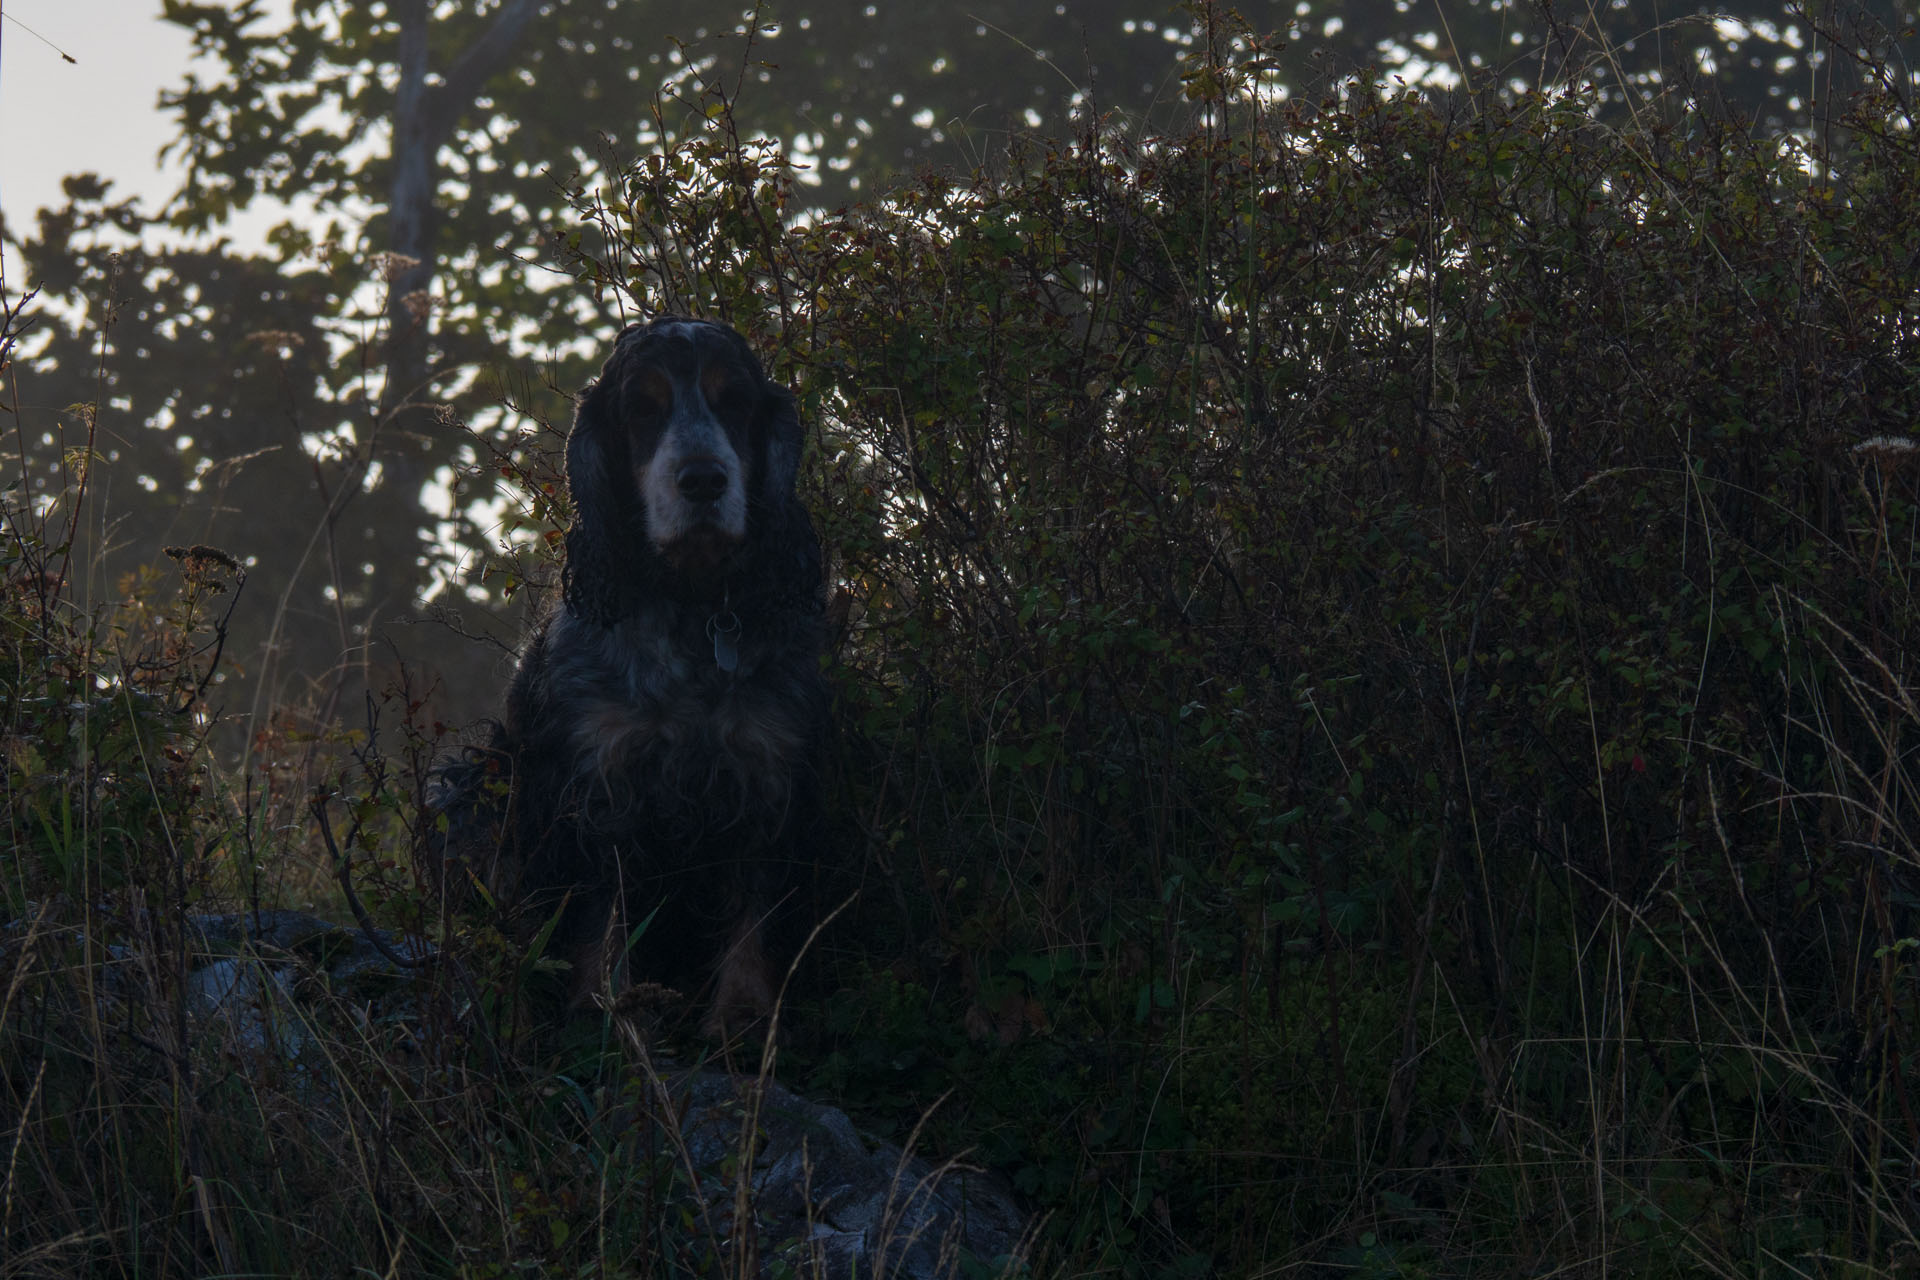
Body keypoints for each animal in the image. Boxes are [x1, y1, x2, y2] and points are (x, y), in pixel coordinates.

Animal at [432, 318, 829, 1043]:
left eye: (735, 403)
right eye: (642, 409)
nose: (703, 480)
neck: (692, 608)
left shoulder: (766, 772)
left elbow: (754, 906)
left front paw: (742, 1018)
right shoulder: (599, 782)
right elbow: (602, 910)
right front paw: (604, 1010)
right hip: (471, 790)